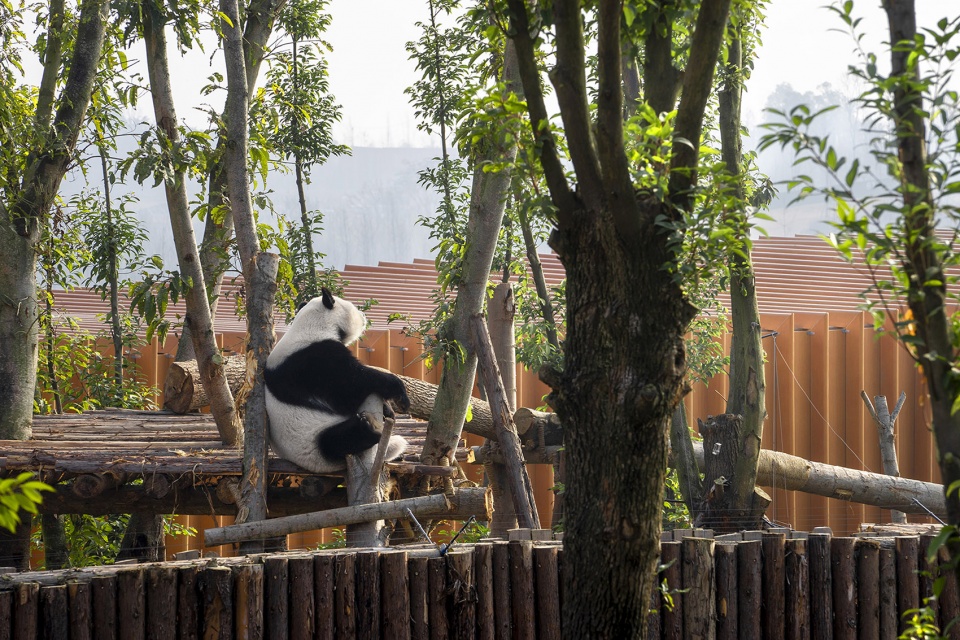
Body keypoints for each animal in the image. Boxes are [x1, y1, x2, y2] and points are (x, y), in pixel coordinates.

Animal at [264, 288, 410, 473]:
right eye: (354, 308)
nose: (364, 316)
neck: (312, 325)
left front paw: (388, 410)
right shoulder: (315, 361)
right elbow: (351, 387)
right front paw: (400, 396)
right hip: (313, 439)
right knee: (334, 441)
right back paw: (369, 428)